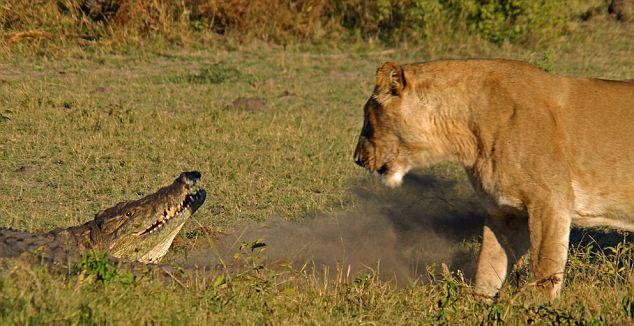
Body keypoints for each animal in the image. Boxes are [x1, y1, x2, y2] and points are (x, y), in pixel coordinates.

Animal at [354, 59, 628, 300]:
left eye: (367, 118)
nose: (357, 158)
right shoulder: (504, 212)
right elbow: (488, 266)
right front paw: (477, 307)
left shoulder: (551, 202)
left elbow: (544, 269)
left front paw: (539, 308)